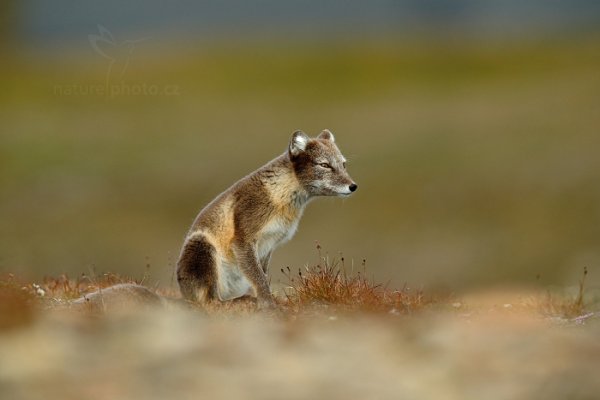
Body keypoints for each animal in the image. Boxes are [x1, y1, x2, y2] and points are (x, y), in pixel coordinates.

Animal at [177, 130, 356, 308]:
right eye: (324, 165)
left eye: (343, 164)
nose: (353, 186)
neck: (279, 195)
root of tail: (183, 291)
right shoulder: (243, 241)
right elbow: (260, 279)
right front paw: (269, 305)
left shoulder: (269, 244)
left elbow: (263, 275)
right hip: (202, 247)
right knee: (212, 301)